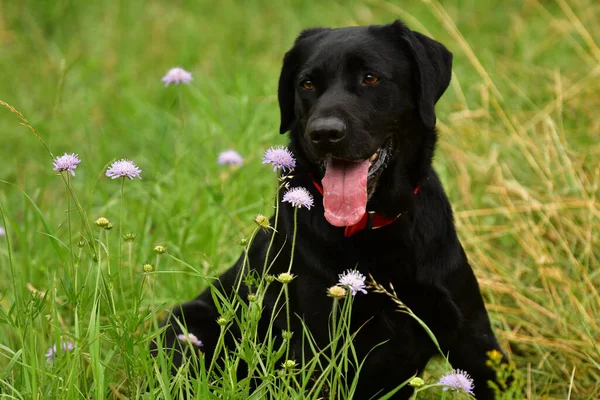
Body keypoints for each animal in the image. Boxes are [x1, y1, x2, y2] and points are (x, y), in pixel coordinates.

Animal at [156, 19, 506, 400]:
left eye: (370, 77)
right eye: (307, 84)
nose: (324, 133)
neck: (375, 230)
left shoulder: (473, 338)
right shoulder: (319, 349)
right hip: (188, 323)